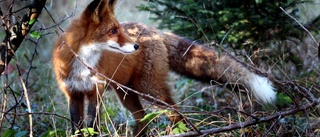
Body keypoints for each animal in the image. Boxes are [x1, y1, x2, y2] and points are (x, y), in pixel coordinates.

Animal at [52, 0, 276, 135]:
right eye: (112, 31)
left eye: (118, 29)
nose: (136, 46)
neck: (82, 64)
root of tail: (154, 30)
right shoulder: (73, 94)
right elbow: (77, 127)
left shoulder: (95, 92)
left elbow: (92, 127)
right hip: (127, 94)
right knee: (143, 120)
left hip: (150, 91)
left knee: (175, 113)